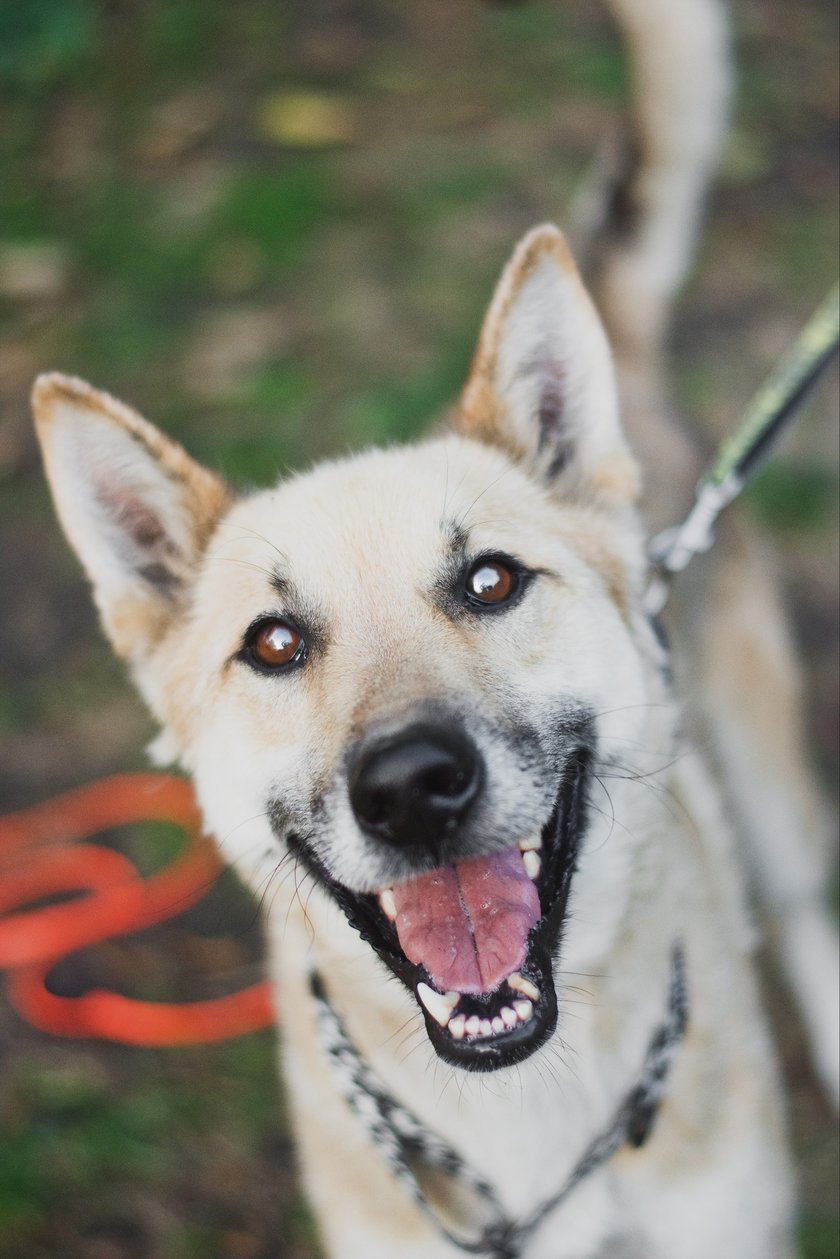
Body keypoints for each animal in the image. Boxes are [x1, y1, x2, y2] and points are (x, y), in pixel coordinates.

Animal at [27, 2, 836, 1259]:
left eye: (492, 580)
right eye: (273, 643)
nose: (411, 788)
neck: (526, 1112)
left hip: (768, 772)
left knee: (803, 907)